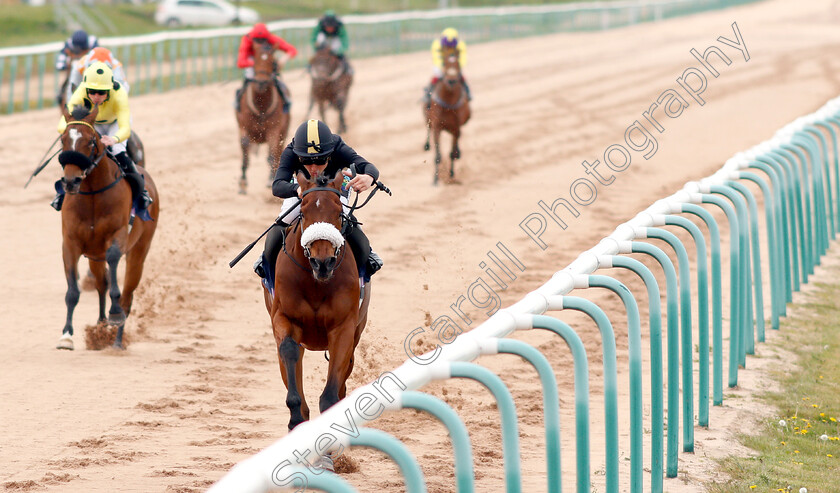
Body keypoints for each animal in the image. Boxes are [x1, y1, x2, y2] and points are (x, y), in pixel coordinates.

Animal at [56, 104, 162, 350]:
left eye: (91, 142)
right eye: (63, 140)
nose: (71, 181)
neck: (93, 195)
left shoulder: (117, 236)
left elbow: (114, 265)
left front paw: (114, 314)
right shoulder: (71, 243)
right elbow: (73, 291)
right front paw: (66, 335)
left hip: (139, 252)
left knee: (127, 295)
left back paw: (117, 340)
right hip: (94, 256)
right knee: (102, 283)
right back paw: (101, 326)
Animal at [235, 38, 290, 194]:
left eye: (272, 61)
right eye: (255, 60)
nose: (260, 82)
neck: (261, 106)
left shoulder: (274, 130)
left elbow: (272, 154)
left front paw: (270, 179)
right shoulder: (243, 127)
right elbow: (245, 151)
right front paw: (242, 182)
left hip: (284, 130)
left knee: (277, 152)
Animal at [262, 170, 368, 430]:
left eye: (339, 213)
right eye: (303, 212)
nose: (323, 263)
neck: (315, 283)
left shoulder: (344, 327)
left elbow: (331, 392)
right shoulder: (283, 317)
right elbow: (288, 350)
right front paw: (296, 416)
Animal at [424, 52, 470, 185]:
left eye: (458, 64)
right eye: (445, 64)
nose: (451, 80)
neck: (449, 104)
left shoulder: (456, 128)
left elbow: (452, 153)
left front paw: (451, 175)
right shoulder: (437, 127)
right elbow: (438, 156)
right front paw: (435, 179)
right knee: (428, 129)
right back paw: (426, 145)